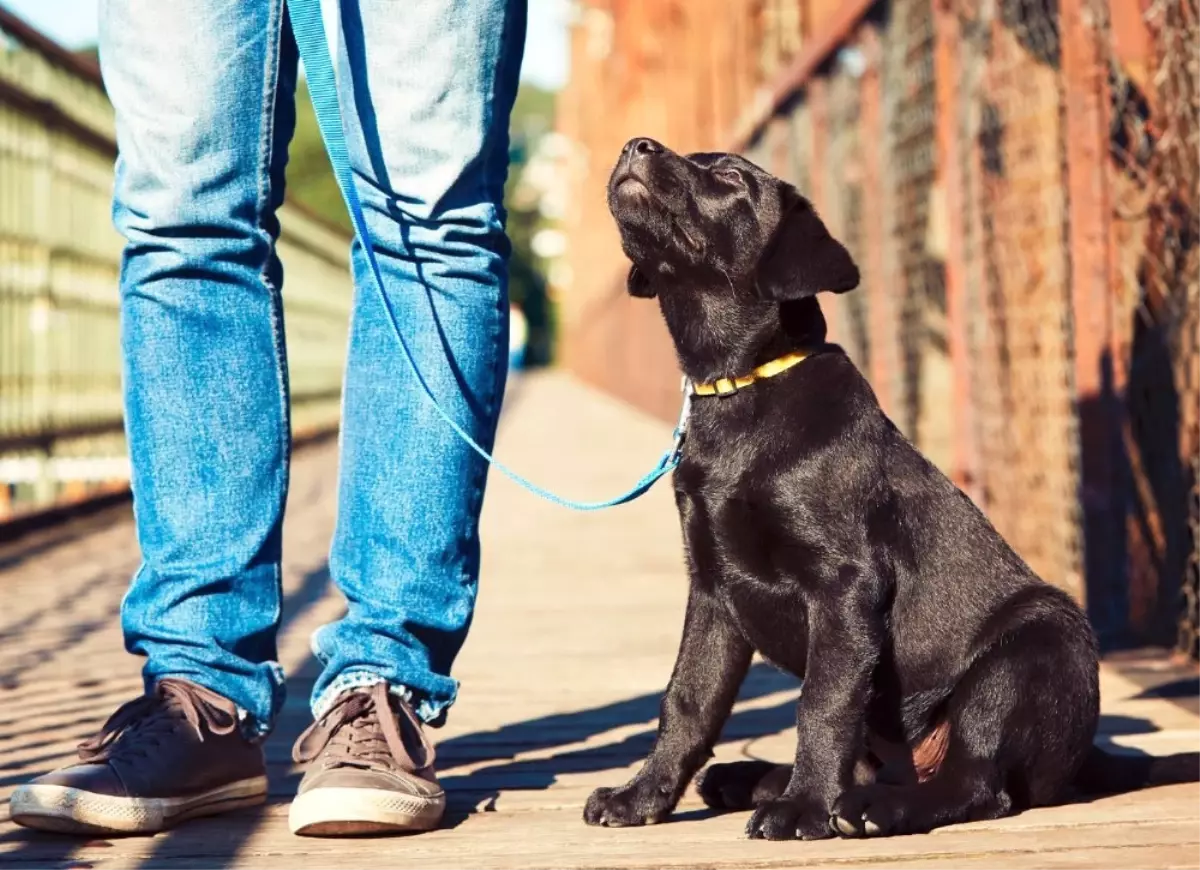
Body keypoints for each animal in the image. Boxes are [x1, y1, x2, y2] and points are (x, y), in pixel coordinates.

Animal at [583, 139, 1200, 840]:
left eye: (733, 178)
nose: (636, 145)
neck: (743, 388)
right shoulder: (714, 590)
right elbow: (687, 700)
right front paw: (641, 797)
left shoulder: (844, 585)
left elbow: (822, 703)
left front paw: (803, 808)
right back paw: (751, 777)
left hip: (1033, 648)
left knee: (978, 783)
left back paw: (865, 807)